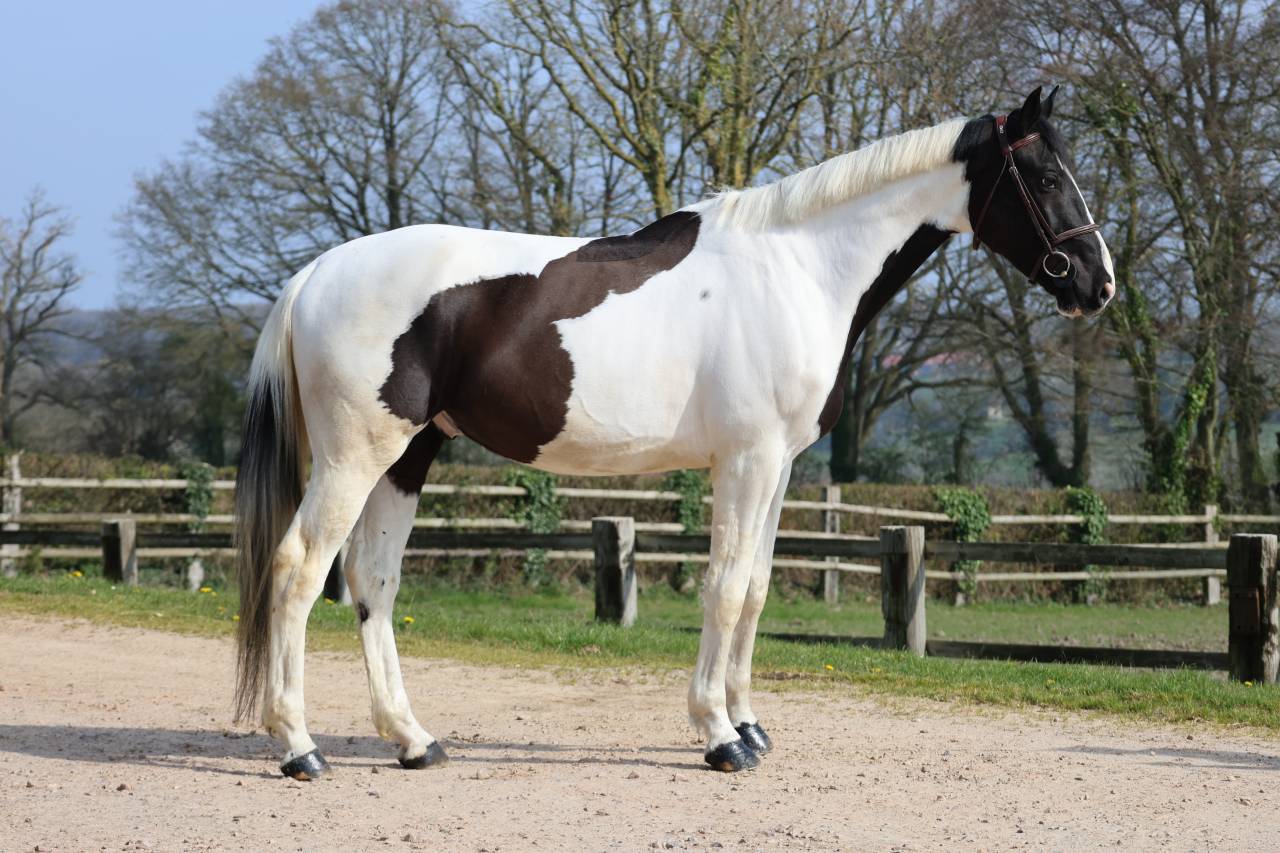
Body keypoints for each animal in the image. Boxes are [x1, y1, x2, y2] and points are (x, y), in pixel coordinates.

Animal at [233, 85, 1114, 779]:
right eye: (1044, 176)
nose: (1098, 283)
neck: (800, 267)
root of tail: (316, 273)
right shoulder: (746, 461)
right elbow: (723, 588)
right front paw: (720, 736)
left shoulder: (779, 467)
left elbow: (755, 588)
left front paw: (751, 723)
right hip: (355, 458)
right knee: (299, 570)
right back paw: (300, 747)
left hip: (408, 455)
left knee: (374, 583)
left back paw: (413, 740)